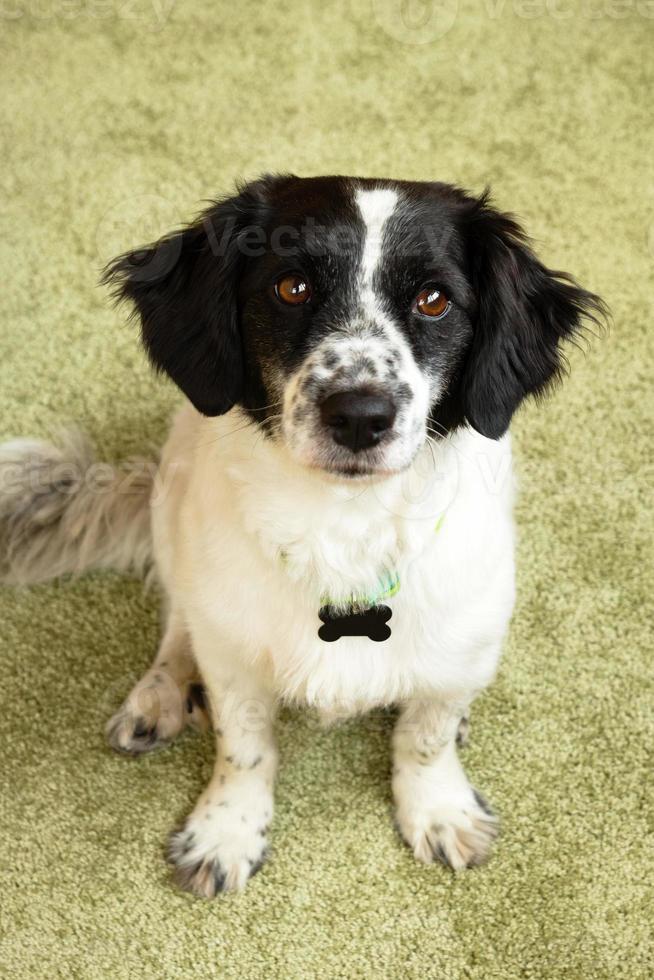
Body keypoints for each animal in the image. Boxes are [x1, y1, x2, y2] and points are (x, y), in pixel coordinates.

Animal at [0, 174, 604, 896]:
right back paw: (160, 694)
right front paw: (226, 831)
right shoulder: (233, 658)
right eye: (292, 287)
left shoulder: (468, 637)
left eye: (434, 300)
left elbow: (425, 735)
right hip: (173, 501)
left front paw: (439, 808)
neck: (344, 527)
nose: (361, 415)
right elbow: (244, 746)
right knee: (178, 619)